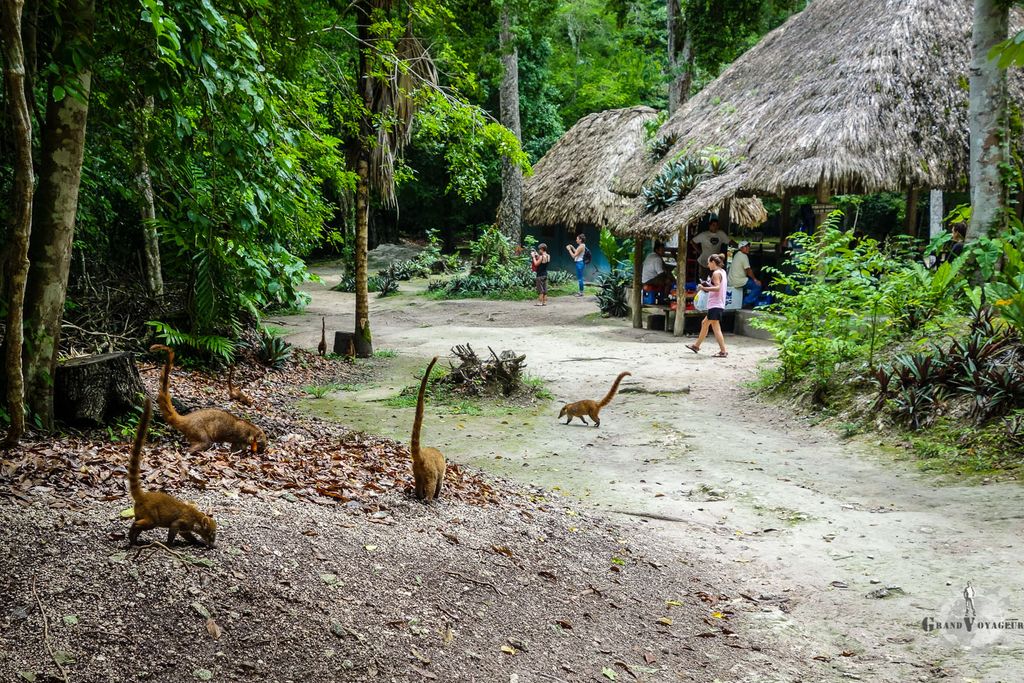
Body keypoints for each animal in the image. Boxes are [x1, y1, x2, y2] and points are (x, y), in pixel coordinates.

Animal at [127, 396, 217, 548]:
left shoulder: (186, 527)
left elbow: (185, 534)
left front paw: (196, 542)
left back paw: (134, 540)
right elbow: (174, 527)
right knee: (142, 524)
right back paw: (132, 534)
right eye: (211, 534)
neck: (197, 518)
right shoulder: (184, 521)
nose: (212, 545)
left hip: (139, 512)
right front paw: (169, 544)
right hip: (151, 516)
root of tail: (143, 496)